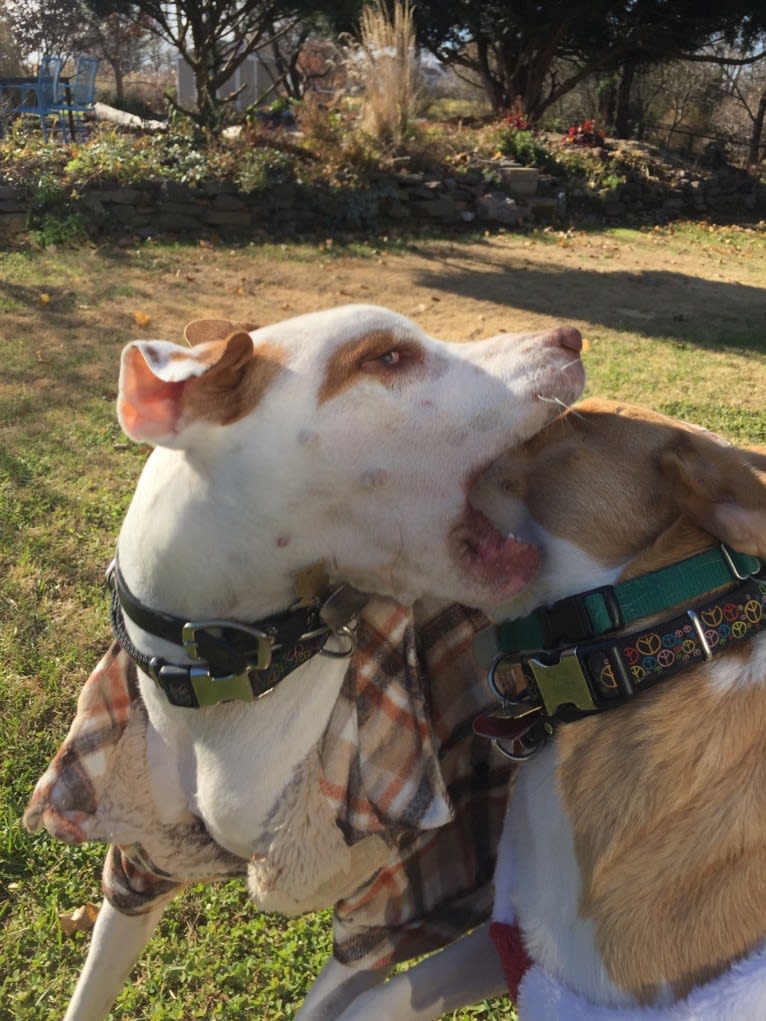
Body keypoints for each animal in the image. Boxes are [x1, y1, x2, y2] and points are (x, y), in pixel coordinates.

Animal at [51, 304, 584, 1021]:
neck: (231, 683)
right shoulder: (142, 857)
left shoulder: (396, 902)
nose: (572, 336)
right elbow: (90, 989)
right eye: (387, 357)